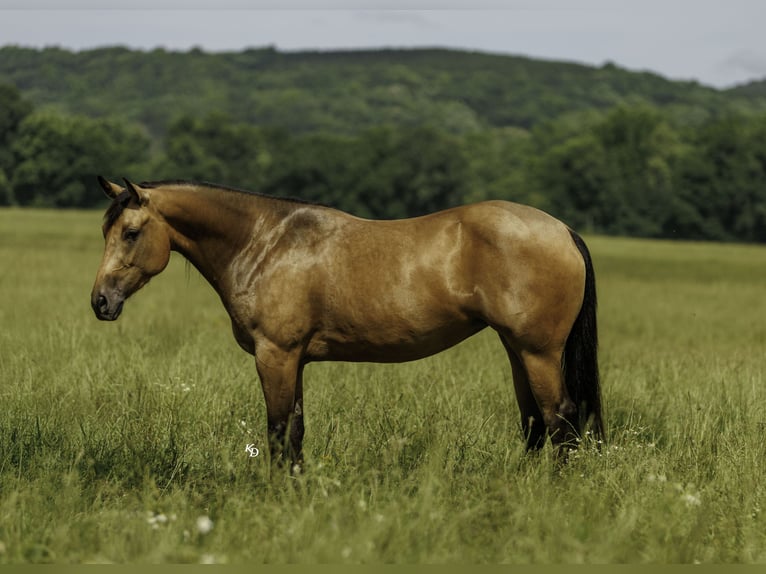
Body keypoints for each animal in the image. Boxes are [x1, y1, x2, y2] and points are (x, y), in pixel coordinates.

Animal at [91, 177, 603, 468]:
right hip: (517, 350)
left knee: (561, 419)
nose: (101, 301)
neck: (265, 243)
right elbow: (295, 431)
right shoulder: (294, 360)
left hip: (538, 352)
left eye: (131, 233)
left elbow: (278, 432)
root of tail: (563, 230)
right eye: (105, 231)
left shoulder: (275, 355)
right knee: (535, 422)